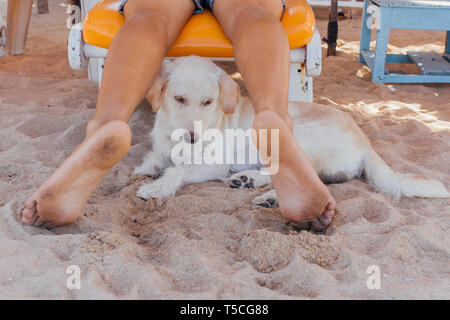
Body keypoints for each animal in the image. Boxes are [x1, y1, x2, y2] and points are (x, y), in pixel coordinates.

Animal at [134, 57, 450, 208]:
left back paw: (271, 197)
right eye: (179, 99)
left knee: (310, 180)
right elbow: (156, 157)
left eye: (208, 102)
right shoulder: (164, 146)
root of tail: (365, 142)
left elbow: (177, 170)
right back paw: (248, 180)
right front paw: (146, 168)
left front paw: (156, 188)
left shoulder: (213, 163)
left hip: (298, 136)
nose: (192, 138)